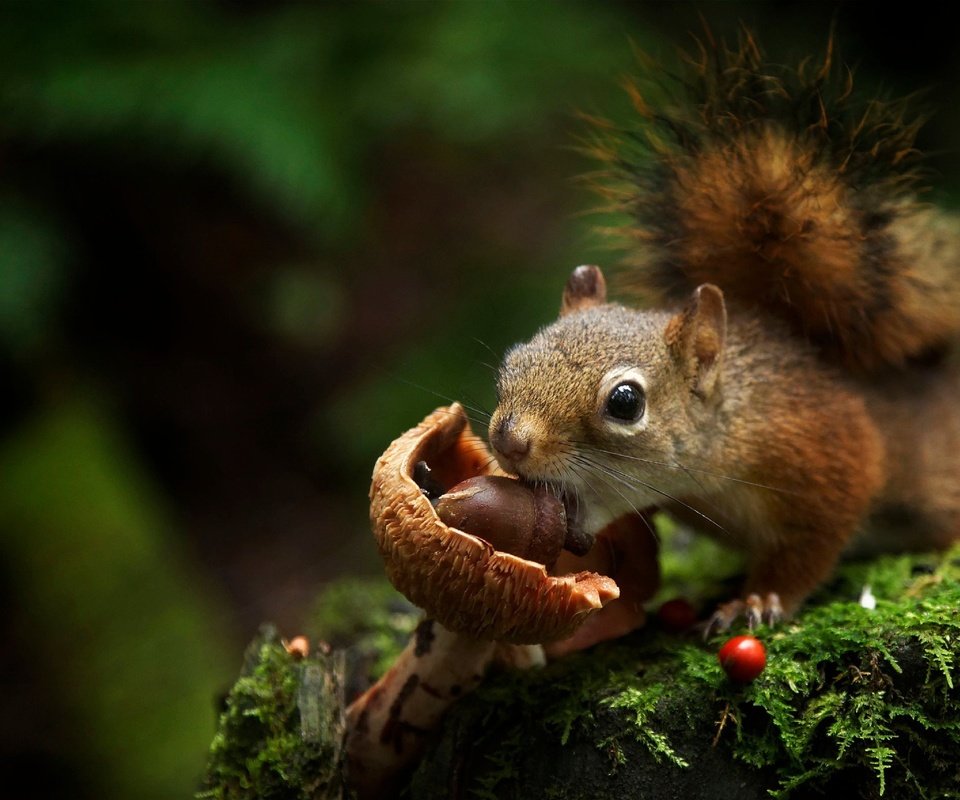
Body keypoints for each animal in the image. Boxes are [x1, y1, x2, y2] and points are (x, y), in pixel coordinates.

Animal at [488, 32, 960, 632]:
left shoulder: (834, 455)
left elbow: (808, 549)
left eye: (625, 402)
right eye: (513, 359)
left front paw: (756, 600)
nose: (509, 440)